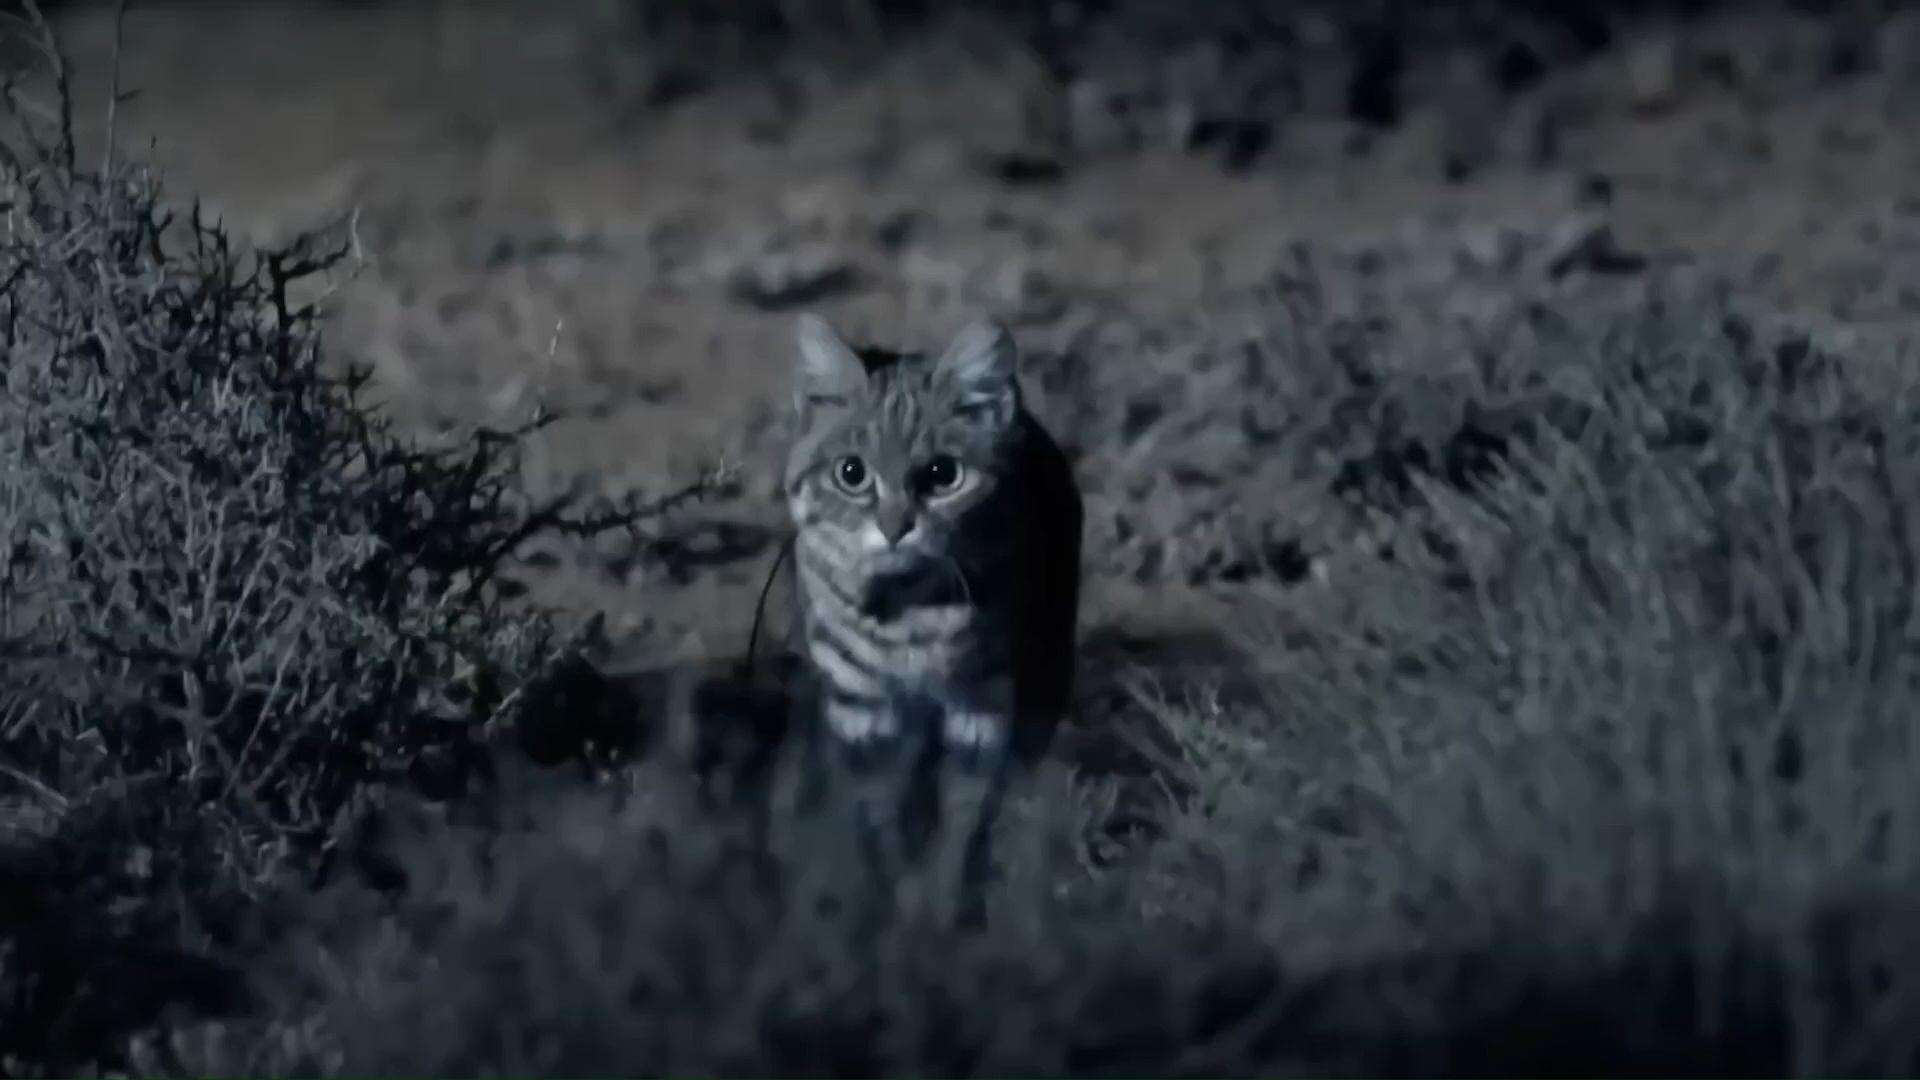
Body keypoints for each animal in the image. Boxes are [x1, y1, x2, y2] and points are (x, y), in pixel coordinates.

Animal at [781, 314, 1082, 766]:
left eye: (944, 475)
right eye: (851, 473)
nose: (893, 529)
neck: (906, 608)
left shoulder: (983, 706)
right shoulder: (859, 705)